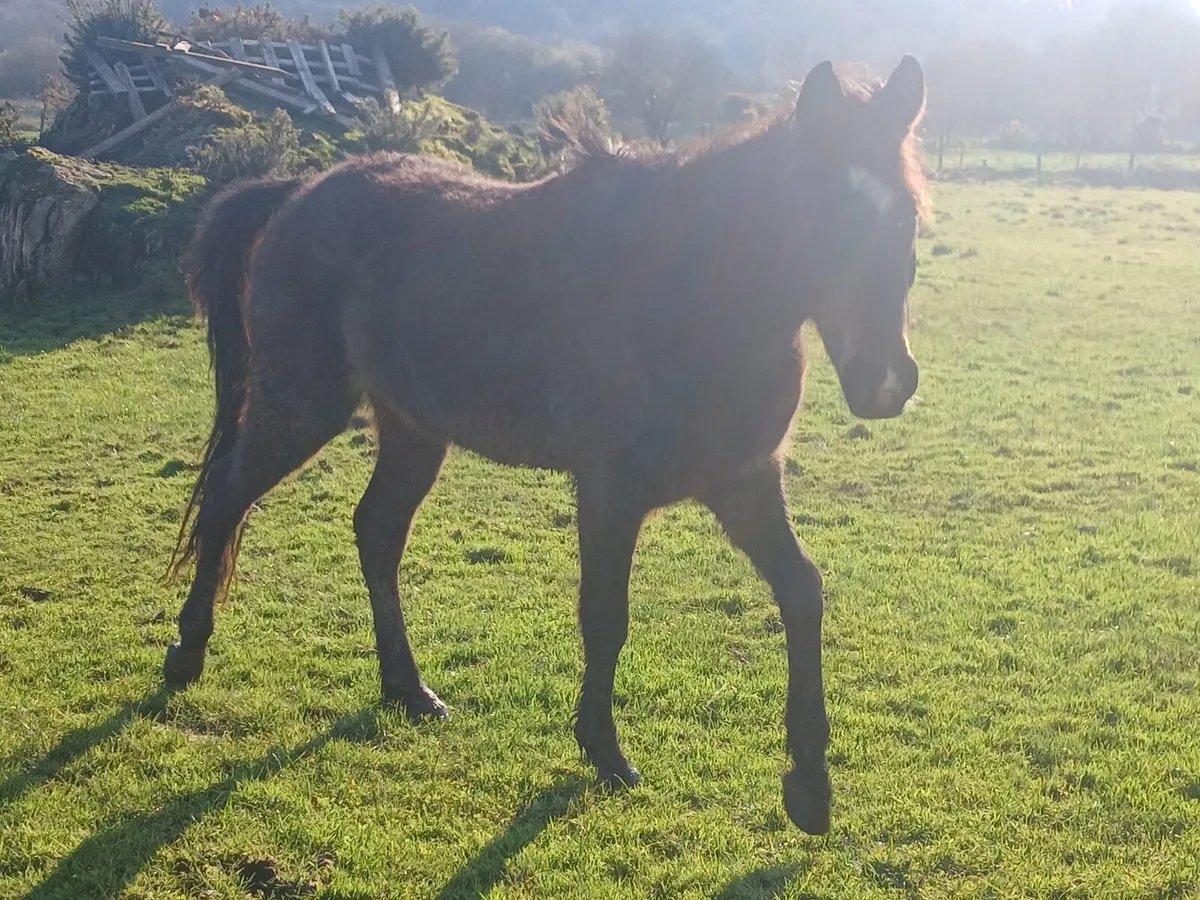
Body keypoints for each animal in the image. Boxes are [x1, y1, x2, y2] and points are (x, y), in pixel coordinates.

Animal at [164, 56, 929, 835]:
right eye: (819, 217)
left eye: (905, 219)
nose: (886, 381)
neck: (686, 301)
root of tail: (296, 193)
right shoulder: (610, 490)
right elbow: (606, 614)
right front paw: (605, 751)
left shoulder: (743, 480)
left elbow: (803, 591)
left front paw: (809, 784)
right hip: (301, 404)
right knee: (228, 496)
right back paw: (188, 652)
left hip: (413, 431)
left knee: (375, 530)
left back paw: (408, 688)